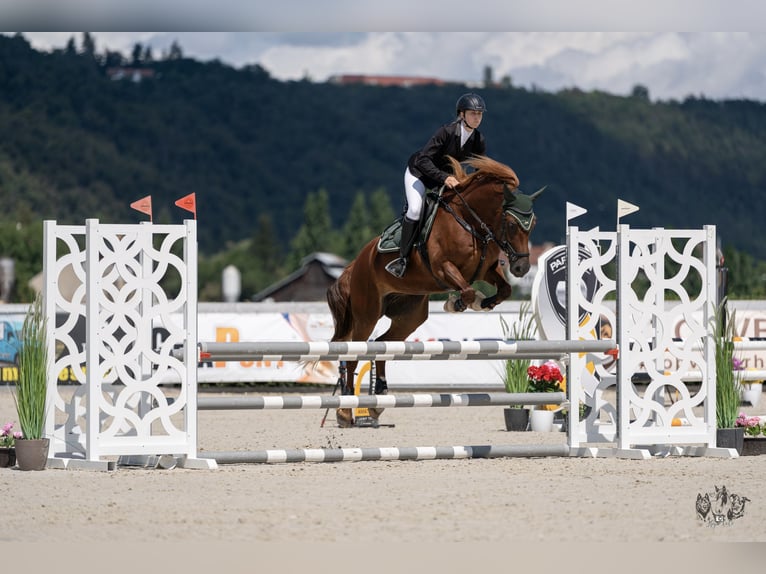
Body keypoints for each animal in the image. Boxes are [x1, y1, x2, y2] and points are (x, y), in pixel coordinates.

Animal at [326, 155, 543, 426]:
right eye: (512, 225)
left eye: (533, 224)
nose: (522, 267)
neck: (471, 221)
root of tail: (356, 263)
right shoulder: (443, 268)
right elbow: (467, 291)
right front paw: (460, 303)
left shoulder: (486, 270)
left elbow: (505, 290)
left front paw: (483, 303)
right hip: (367, 312)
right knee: (355, 352)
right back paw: (345, 411)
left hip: (409, 315)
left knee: (382, 343)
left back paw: (378, 401)